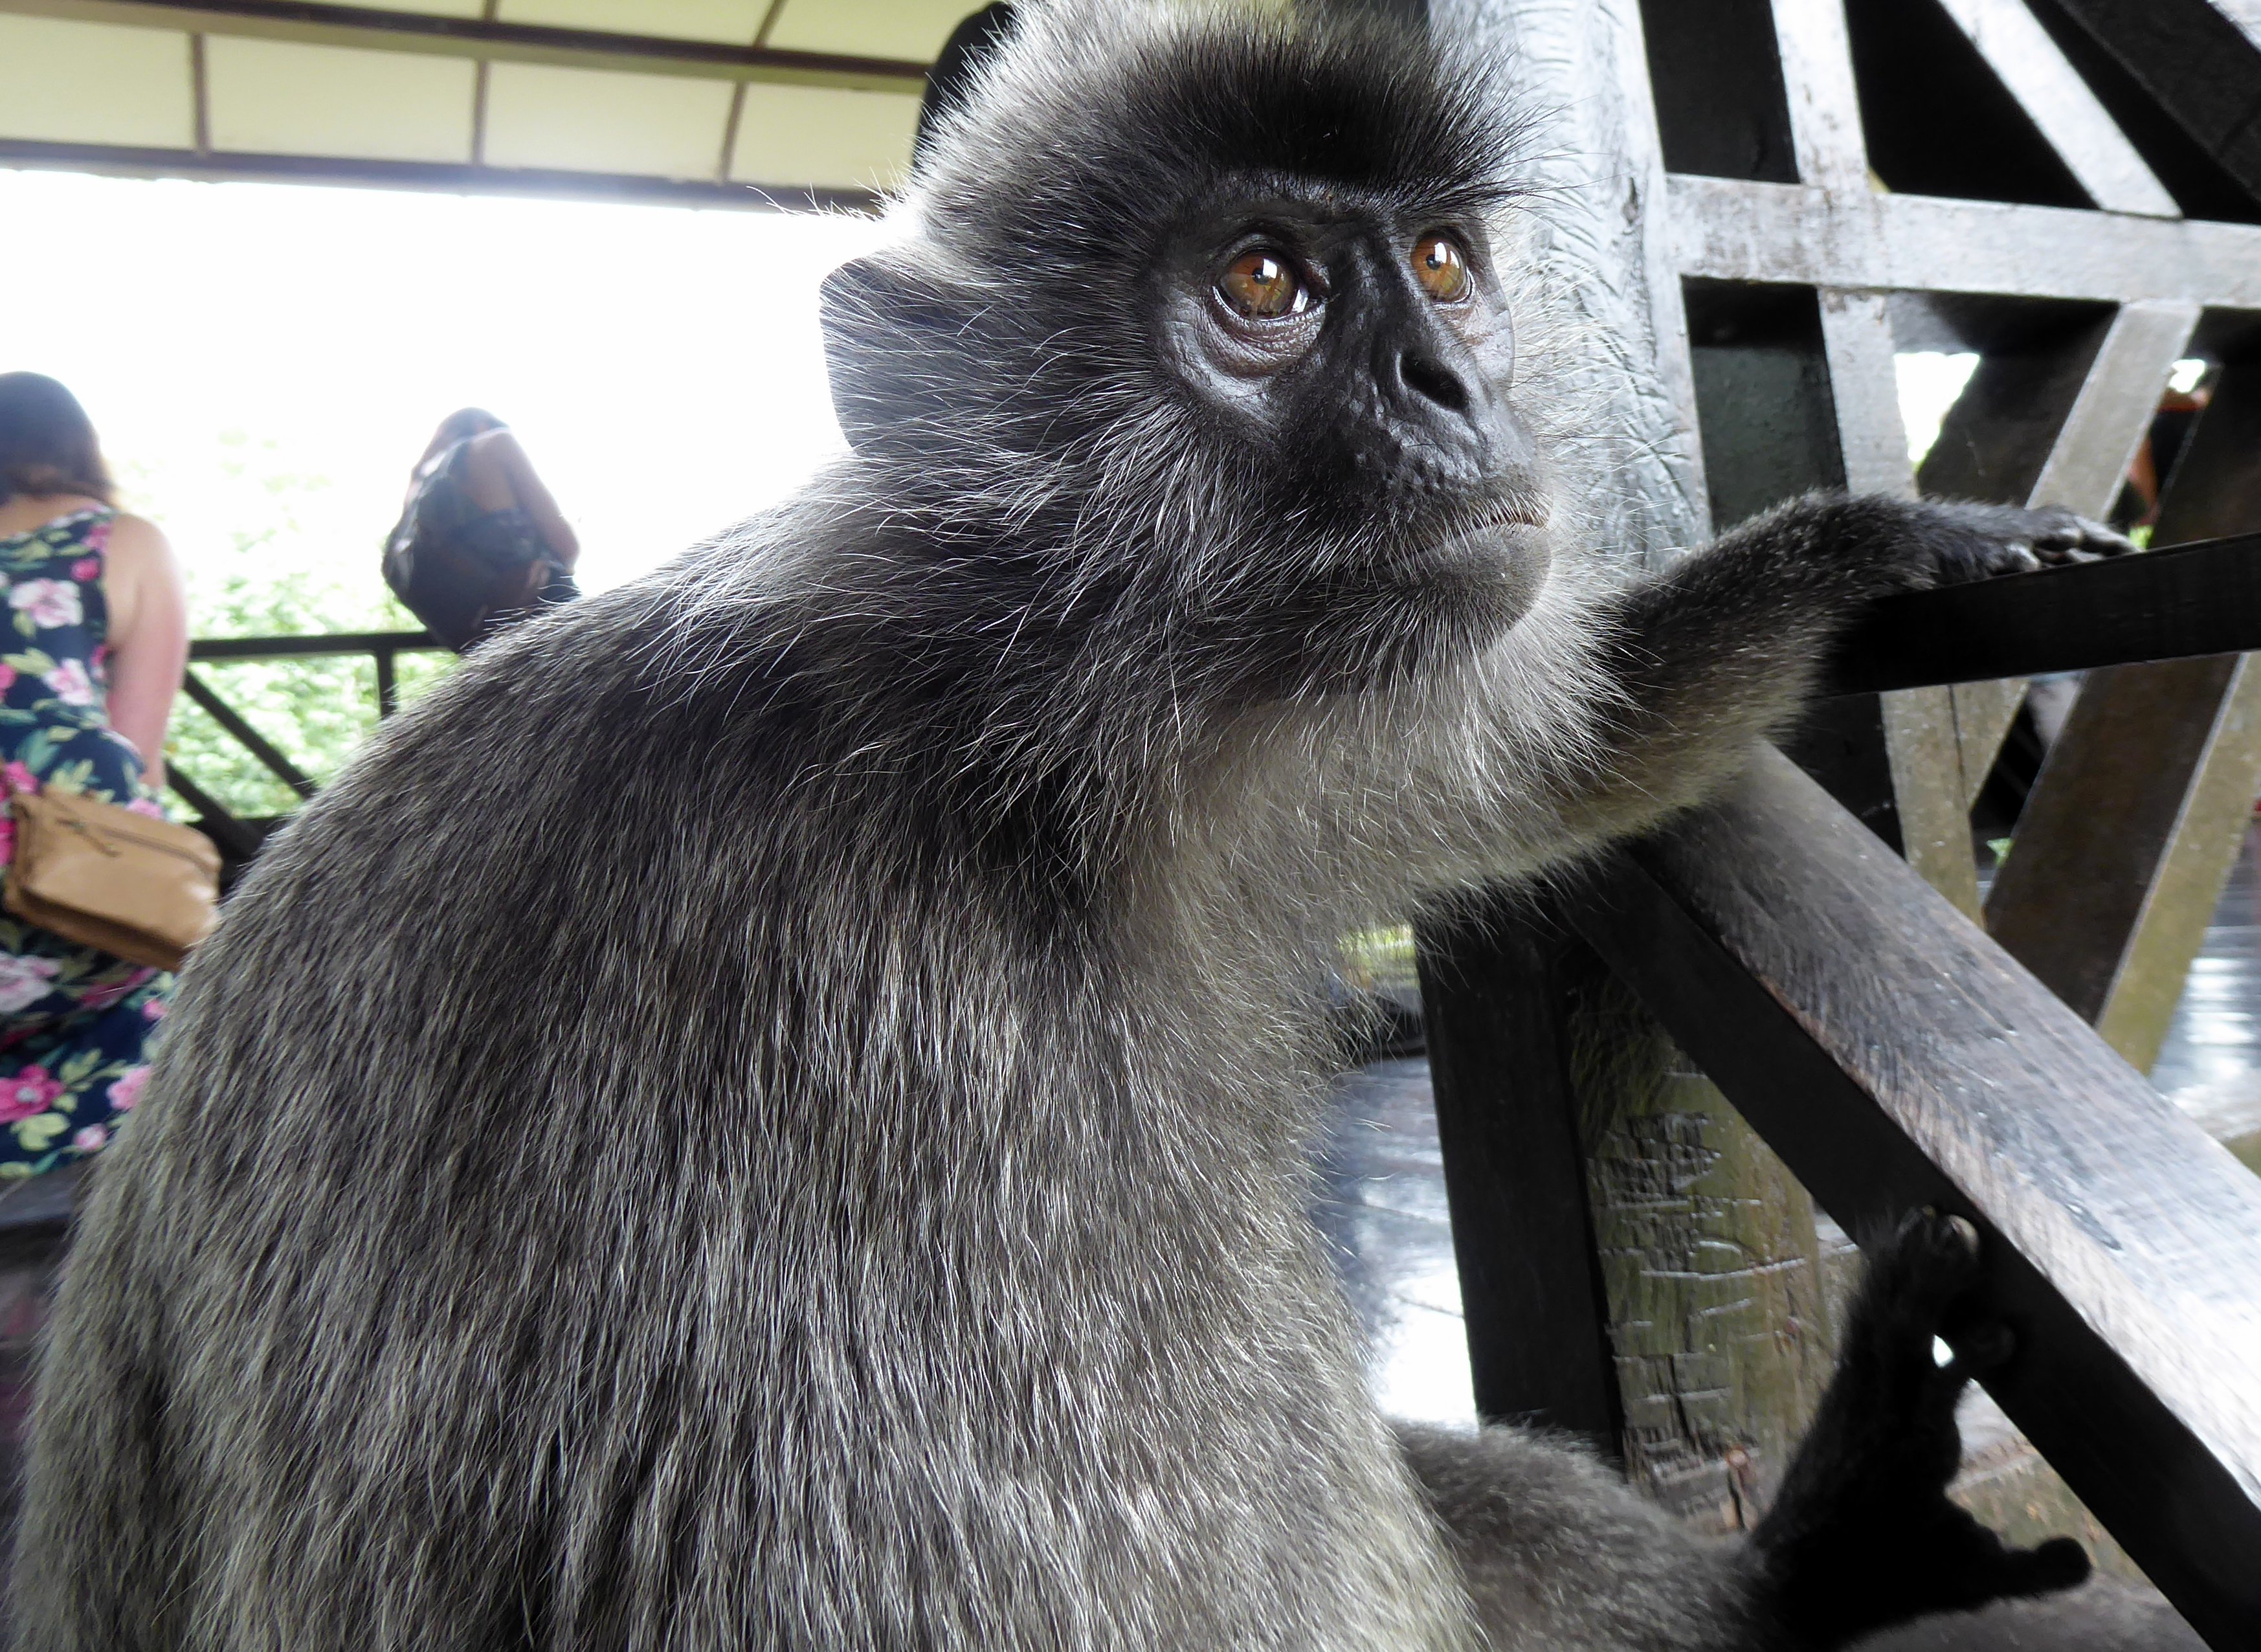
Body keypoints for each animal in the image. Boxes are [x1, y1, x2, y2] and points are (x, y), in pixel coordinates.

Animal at [11, 3, 2138, 1648]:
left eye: (1446, 266)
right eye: (1264, 285)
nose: (1460, 381)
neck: (980, 735)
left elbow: (1540, 760)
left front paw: (1881, 542)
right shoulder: (881, 1063)